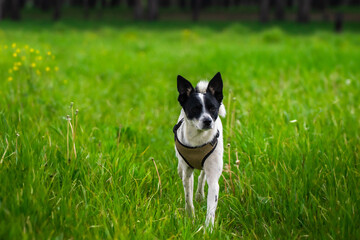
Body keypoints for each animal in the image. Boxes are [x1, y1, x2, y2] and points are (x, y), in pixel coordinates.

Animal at [174, 72, 225, 230]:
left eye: (213, 109)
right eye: (195, 109)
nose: (207, 120)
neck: (198, 140)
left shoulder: (213, 177)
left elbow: (211, 205)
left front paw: (208, 228)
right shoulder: (187, 173)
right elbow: (187, 198)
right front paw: (191, 217)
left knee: (202, 177)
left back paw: (200, 195)